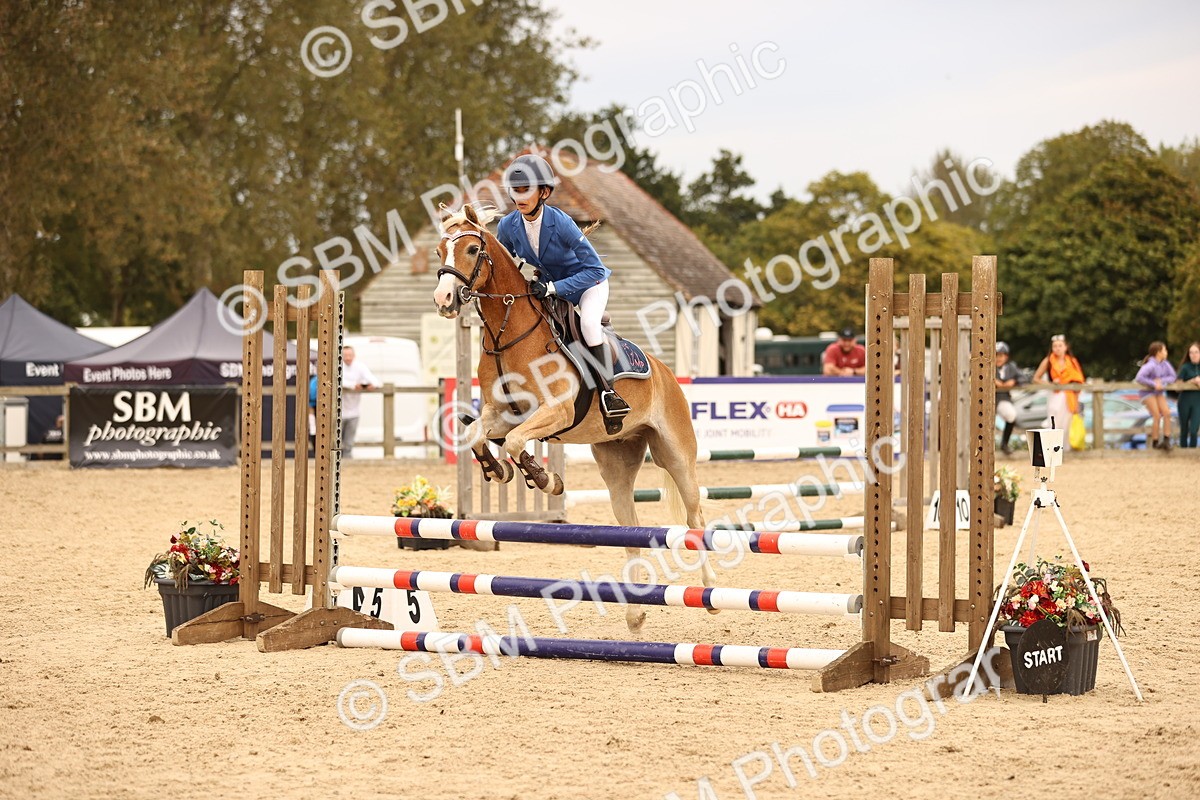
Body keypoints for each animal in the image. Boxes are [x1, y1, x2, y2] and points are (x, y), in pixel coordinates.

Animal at [432, 204, 715, 631]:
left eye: (470, 249)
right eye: (438, 251)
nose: (444, 299)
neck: (508, 335)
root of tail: (665, 372)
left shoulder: (556, 411)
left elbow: (516, 442)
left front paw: (545, 479)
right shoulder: (503, 413)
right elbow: (479, 436)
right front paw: (498, 469)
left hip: (677, 456)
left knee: (696, 515)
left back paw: (711, 593)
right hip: (616, 462)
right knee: (629, 525)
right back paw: (635, 613)